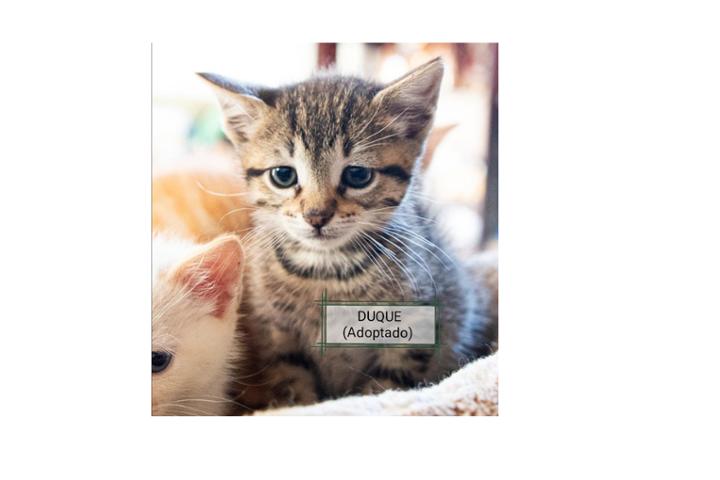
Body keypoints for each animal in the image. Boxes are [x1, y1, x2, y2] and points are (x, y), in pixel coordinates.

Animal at [199, 57, 495, 407]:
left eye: (357, 175)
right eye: (283, 175)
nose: (316, 216)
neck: (327, 271)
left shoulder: (414, 331)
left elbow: (385, 387)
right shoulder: (278, 336)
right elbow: (294, 387)